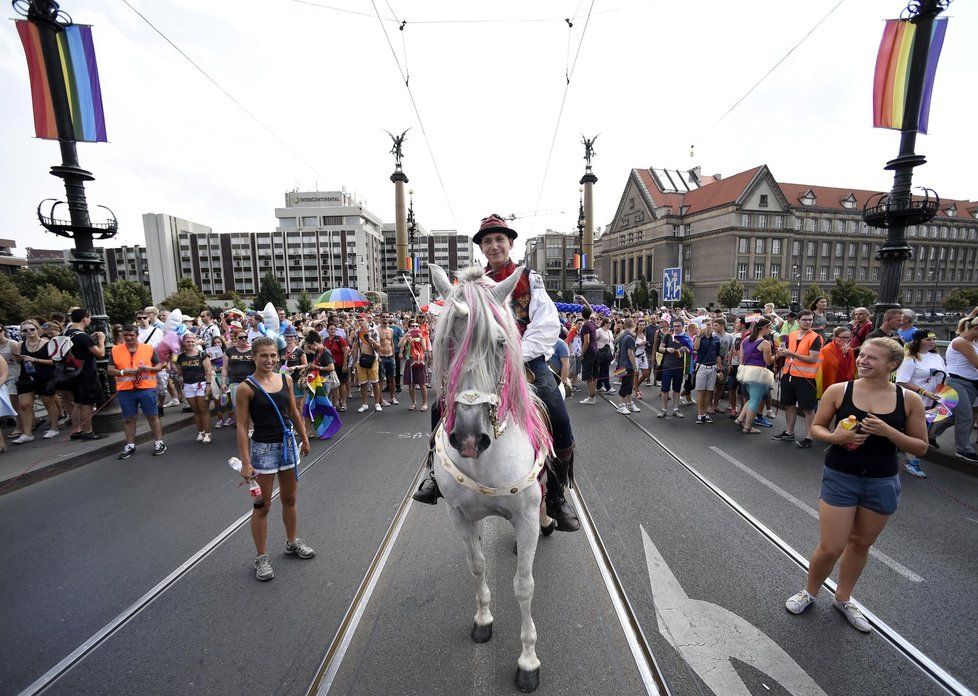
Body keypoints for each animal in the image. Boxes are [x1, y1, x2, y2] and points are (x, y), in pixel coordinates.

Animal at [428, 264, 556, 692]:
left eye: (500, 342)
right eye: (445, 341)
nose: (469, 438)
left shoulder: (525, 516)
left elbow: (524, 585)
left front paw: (528, 661)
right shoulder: (458, 516)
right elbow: (477, 564)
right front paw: (483, 619)